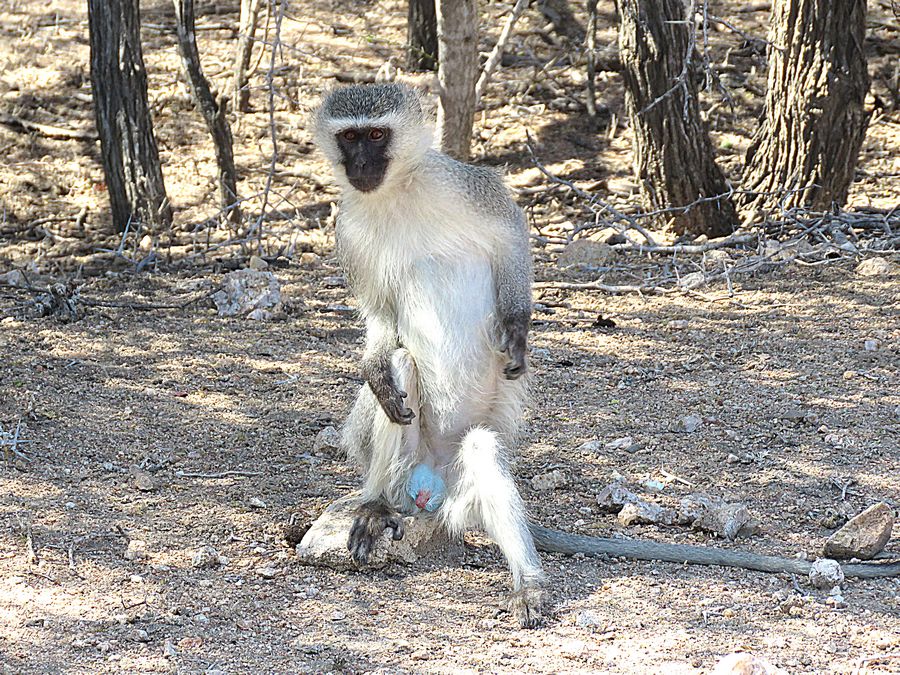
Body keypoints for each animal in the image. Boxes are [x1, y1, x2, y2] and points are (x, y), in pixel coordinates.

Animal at [311, 83, 900, 628]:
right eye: (350, 138)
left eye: (376, 135)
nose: (360, 166)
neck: (397, 193)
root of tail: (427, 490)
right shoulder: (350, 230)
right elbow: (378, 313)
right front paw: (371, 363)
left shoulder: (461, 185)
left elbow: (511, 232)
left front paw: (518, 328)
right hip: (408, 467)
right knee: (399, 376)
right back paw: (375, 502)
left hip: (460, 488)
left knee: (480, 448)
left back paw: (528, 583)